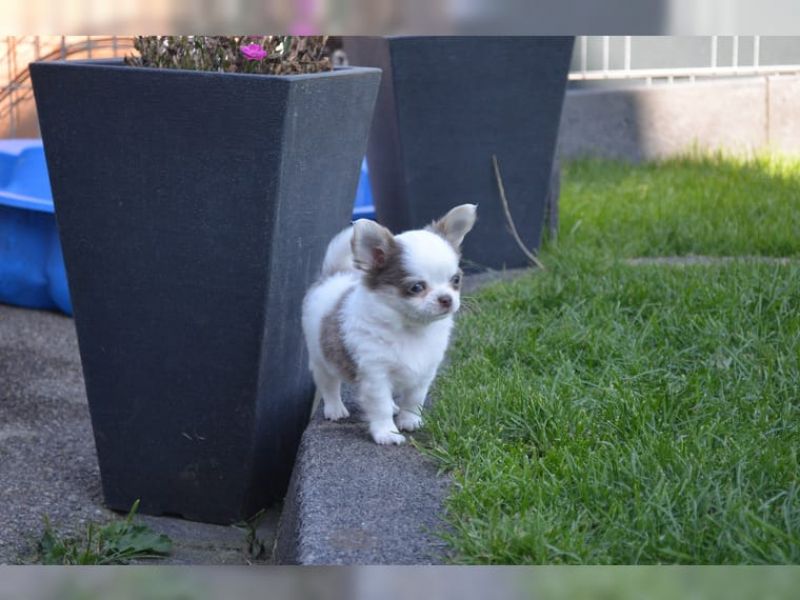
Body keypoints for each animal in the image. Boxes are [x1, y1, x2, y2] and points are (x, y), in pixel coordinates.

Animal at [301, 204, 477, 444]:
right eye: (416, 287)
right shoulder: (376, 374)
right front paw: (387, 433)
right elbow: (380, 405)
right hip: (321, 358)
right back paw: (335, 409)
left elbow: (414, 400)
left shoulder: (424, 373)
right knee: (329, 384)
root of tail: (334, 275)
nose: (446, 299)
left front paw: (410, 421)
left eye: (456, 280)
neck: (412, 329)